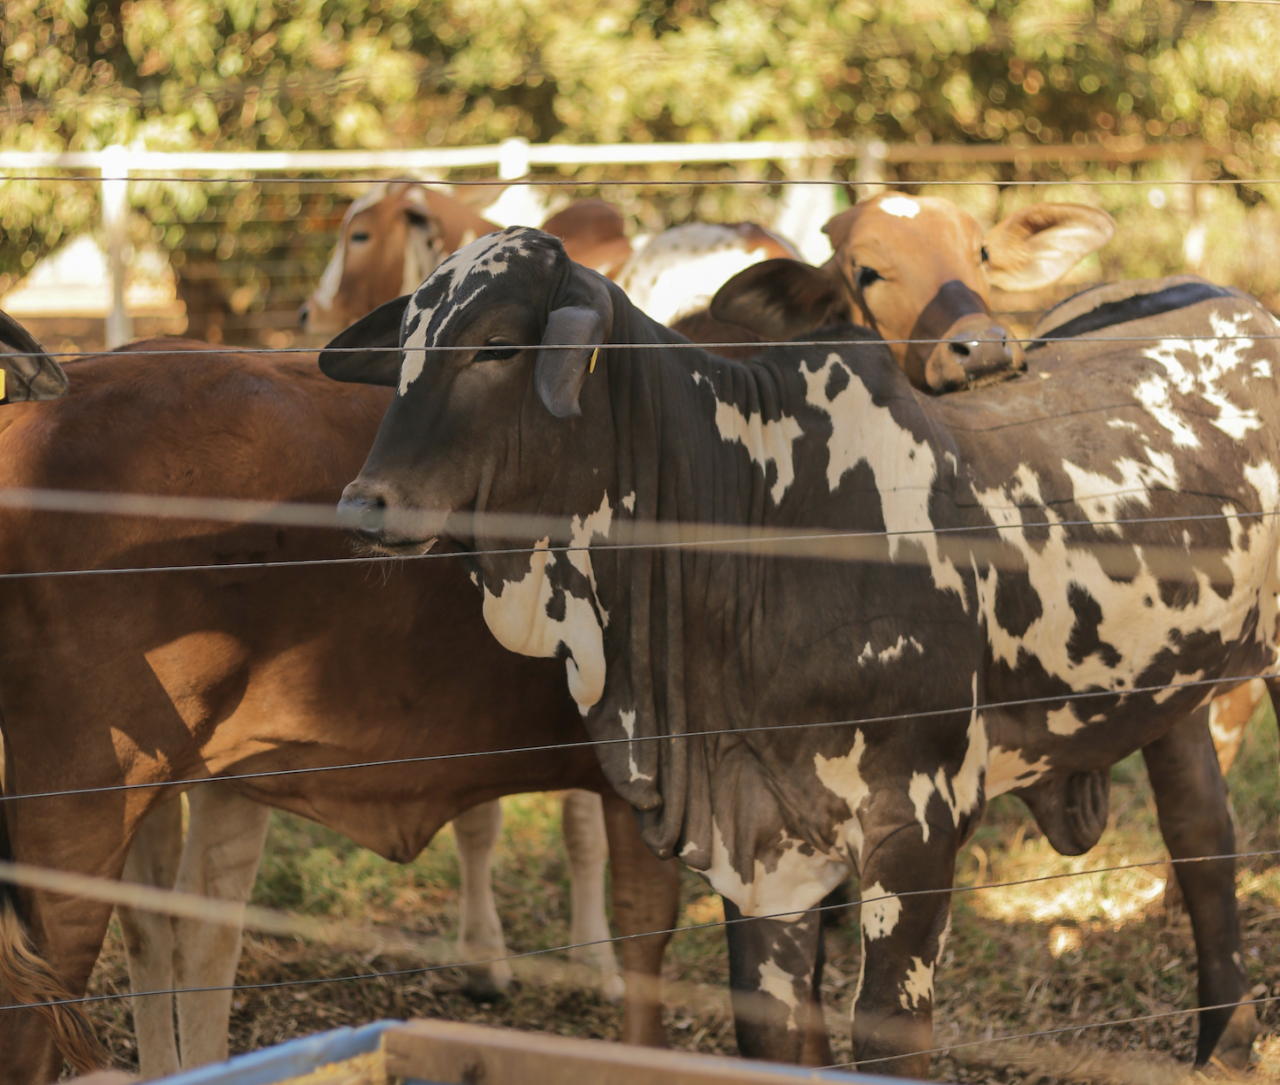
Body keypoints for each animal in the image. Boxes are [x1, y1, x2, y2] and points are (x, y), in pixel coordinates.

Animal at [327, 225, 1280, 1074]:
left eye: (495, 347)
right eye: (407, 345)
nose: (364, 501)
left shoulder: (917, 826)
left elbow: (887, 1036)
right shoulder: (758, 851)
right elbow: (771, 1030)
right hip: (1174, 696)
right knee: (1203, 834)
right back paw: (1225, 1046)